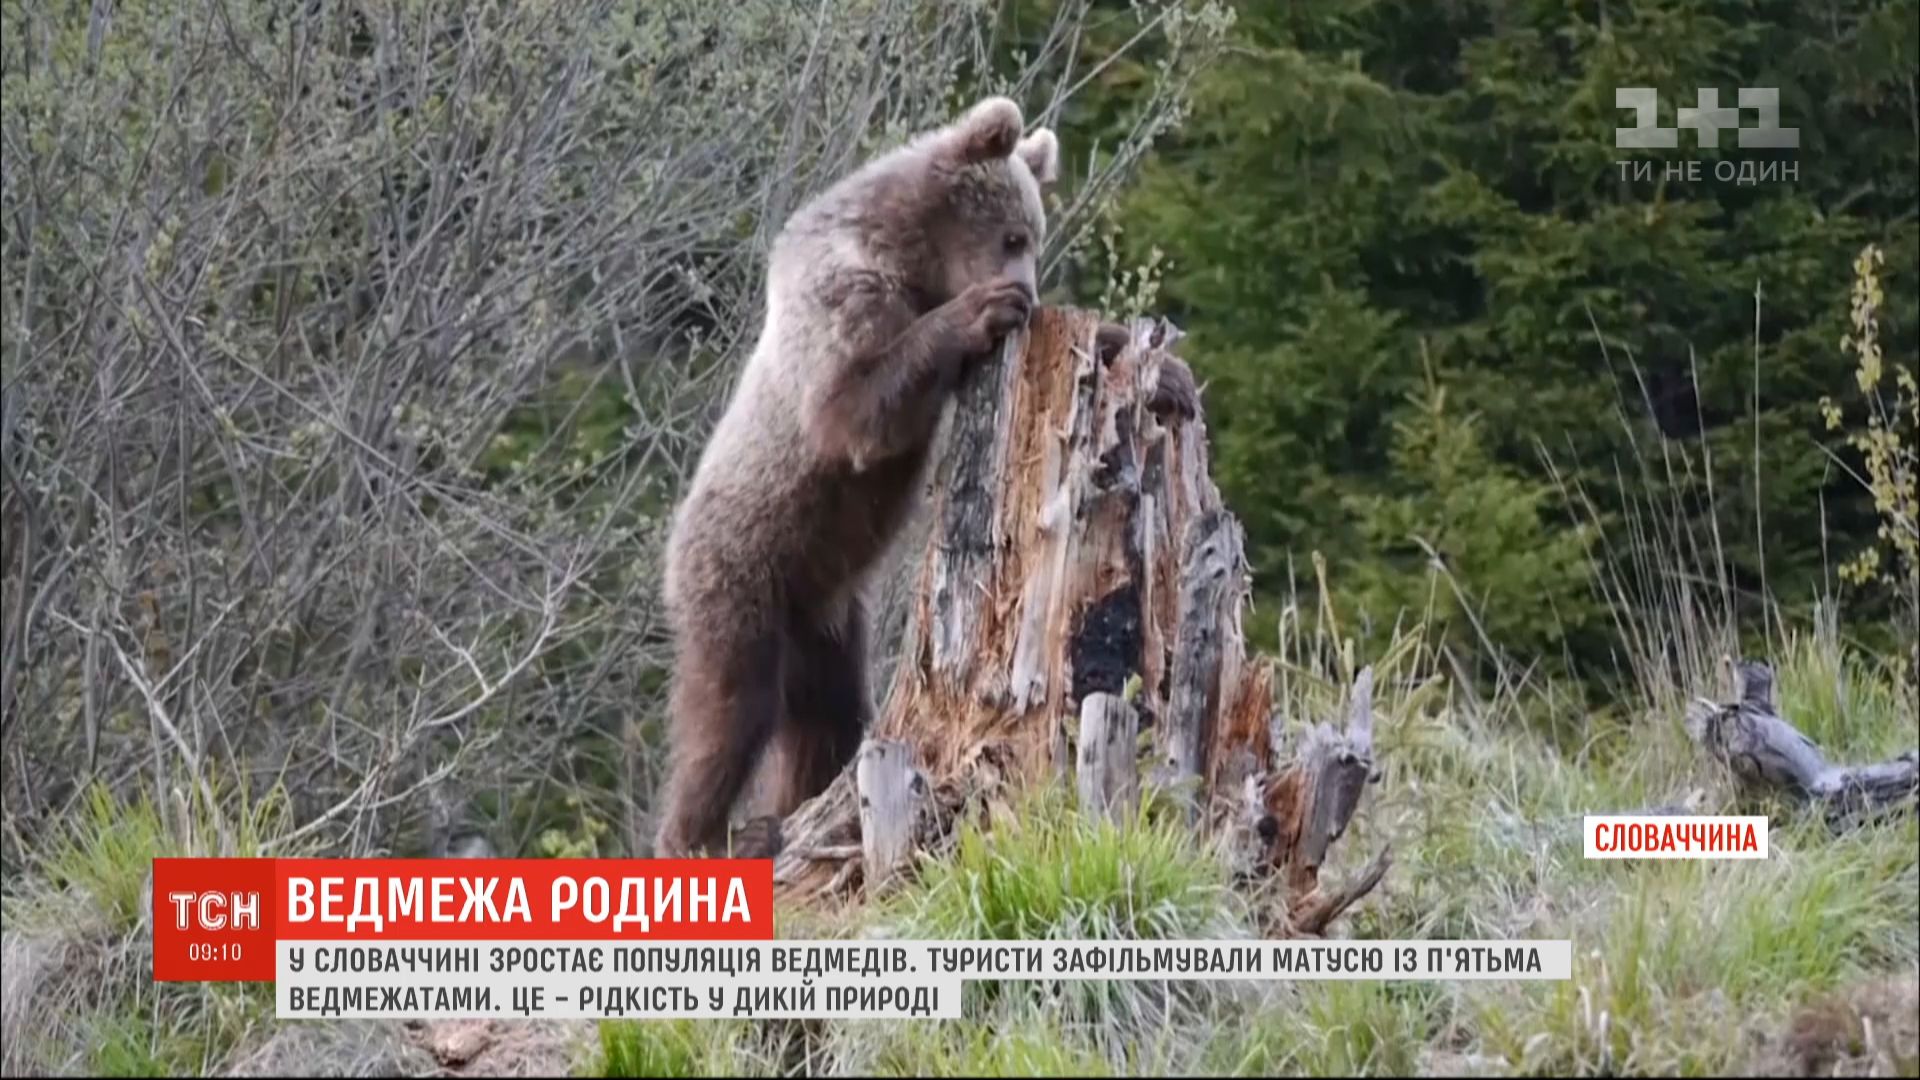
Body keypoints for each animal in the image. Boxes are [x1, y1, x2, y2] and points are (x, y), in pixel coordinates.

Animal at [652, 94, 1190, 857]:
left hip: (826, 616)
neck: (911, 254)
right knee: (731, 705)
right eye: (1014, 235)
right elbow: (854, 406)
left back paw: (797, 801)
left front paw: (1167, 375)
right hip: (744, 564)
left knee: (827, 714)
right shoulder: (844, 297)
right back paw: (705, 833)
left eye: (1034, 236)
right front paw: (983, 310)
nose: (1027, 292)